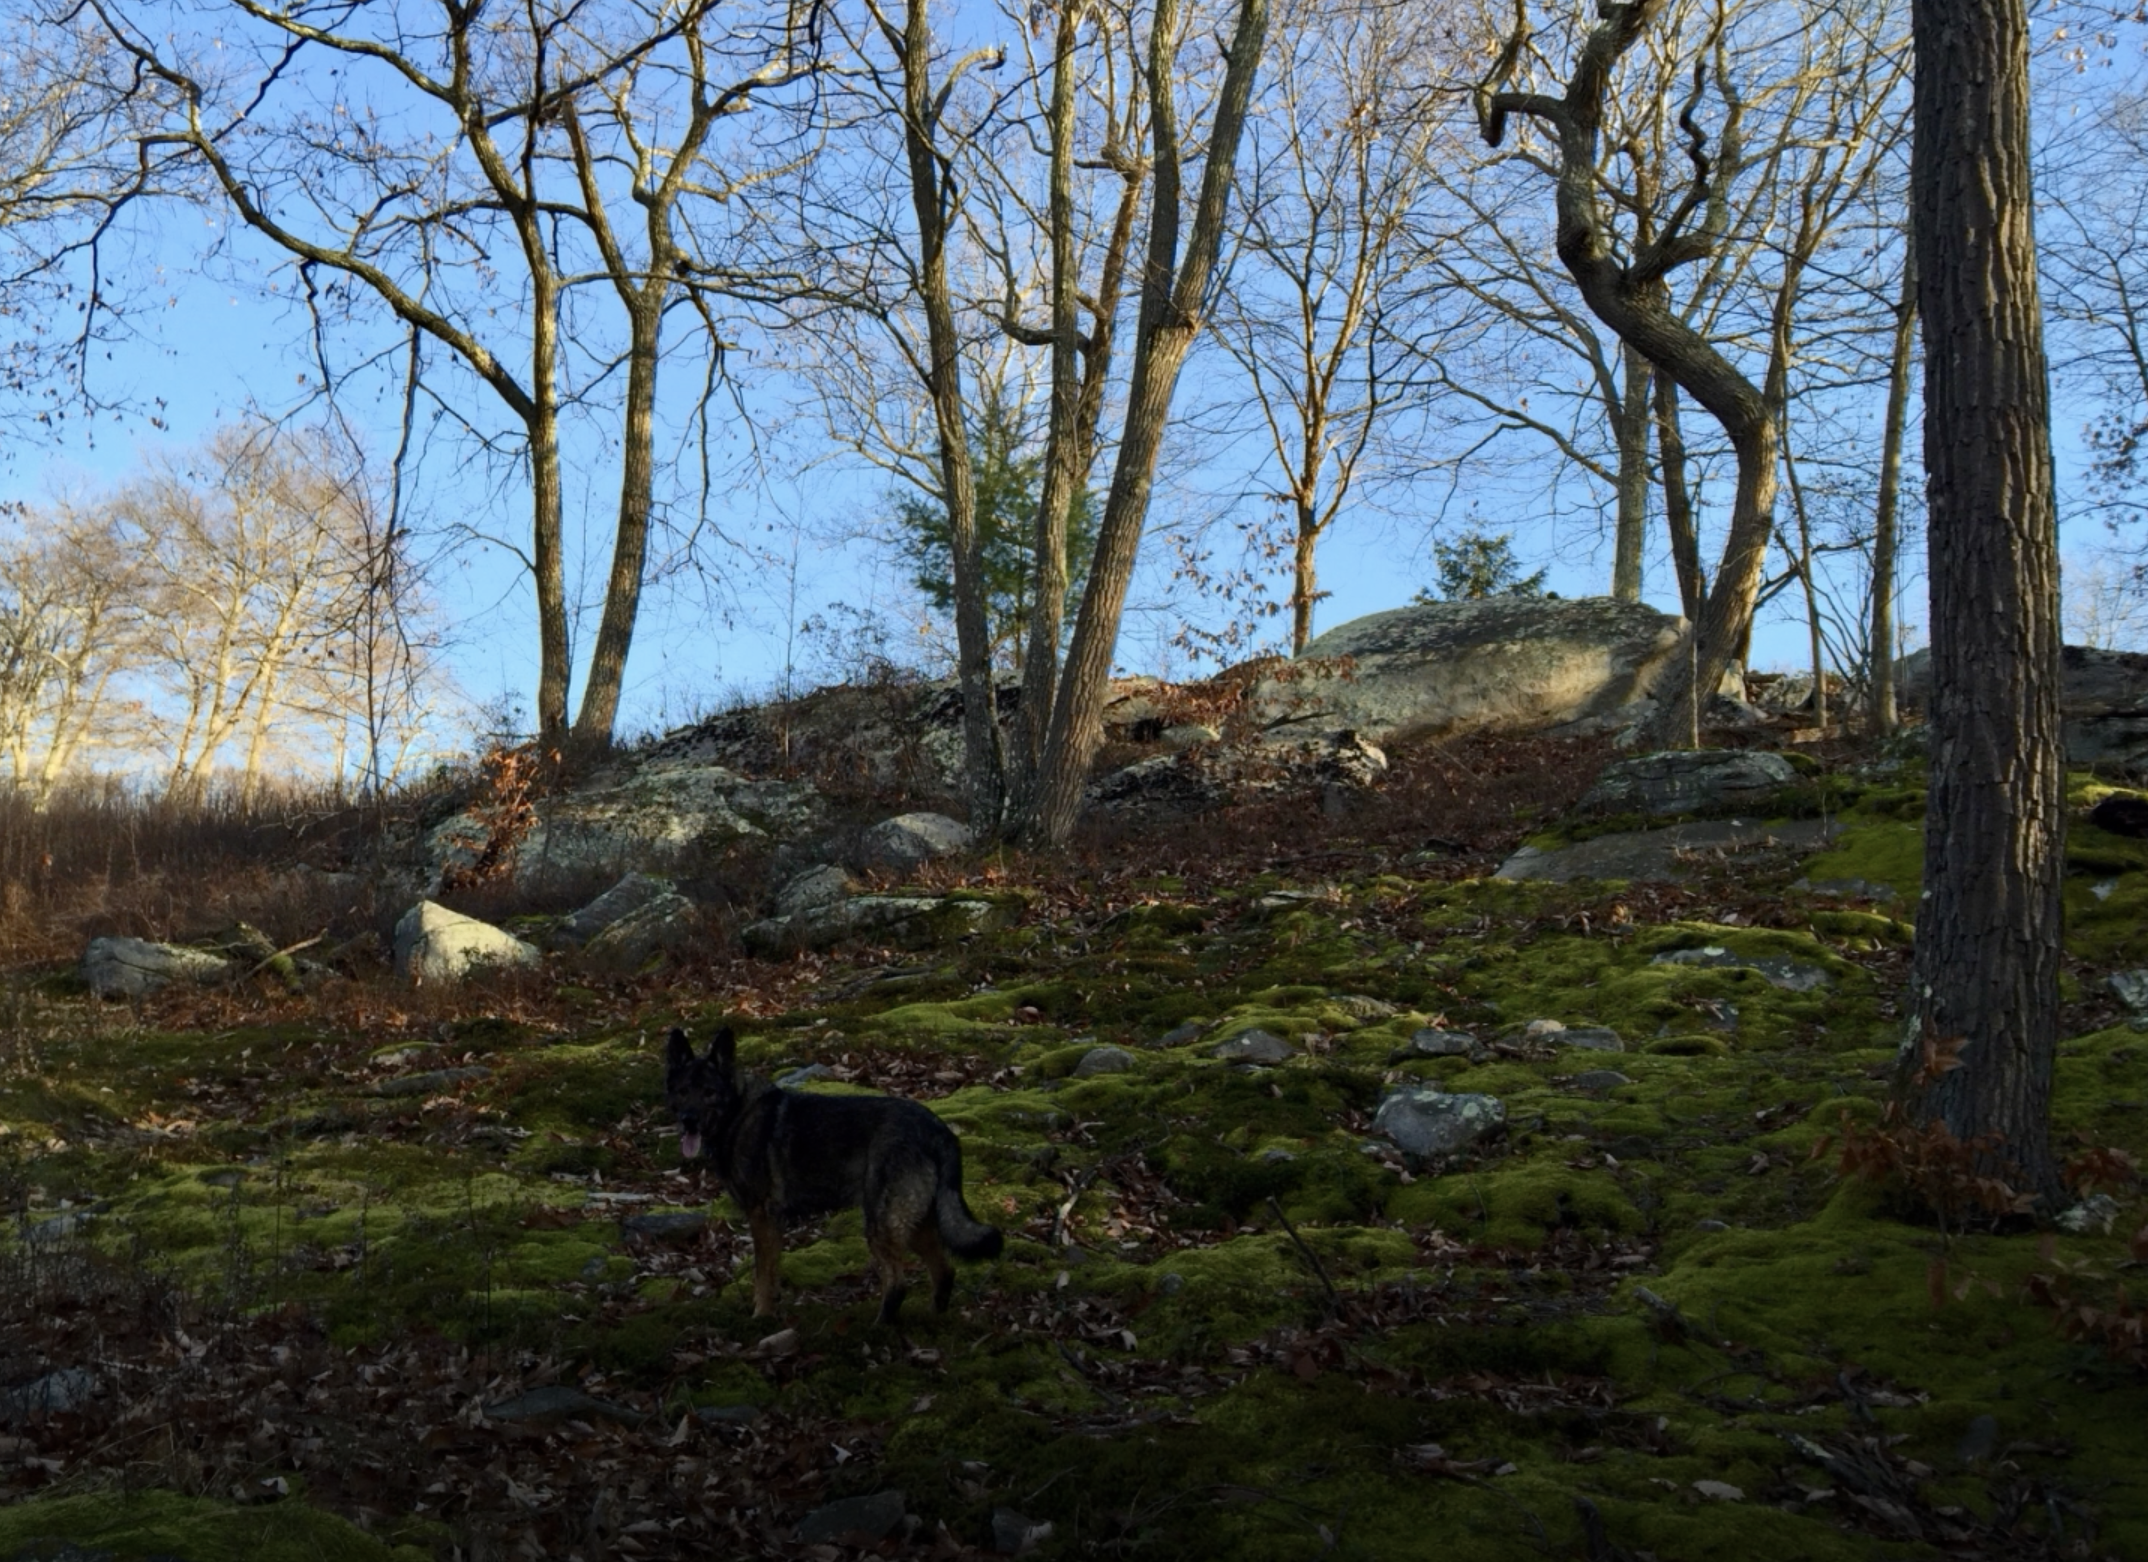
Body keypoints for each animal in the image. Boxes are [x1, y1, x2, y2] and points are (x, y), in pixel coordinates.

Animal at [664, 1026, 1003, 1324]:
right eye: (683, 1092)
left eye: (709, 1092)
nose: (689, 1121)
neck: (736, 1112)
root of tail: (937, 1128)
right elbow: (772, 1274)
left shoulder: (762, 1217)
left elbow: (763, 1275)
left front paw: (761, 1317)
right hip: (915, 1222)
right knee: (944, 1272)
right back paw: (931, 1320)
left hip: (881, 1222)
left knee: (898, 1283)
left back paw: (879, 1328)